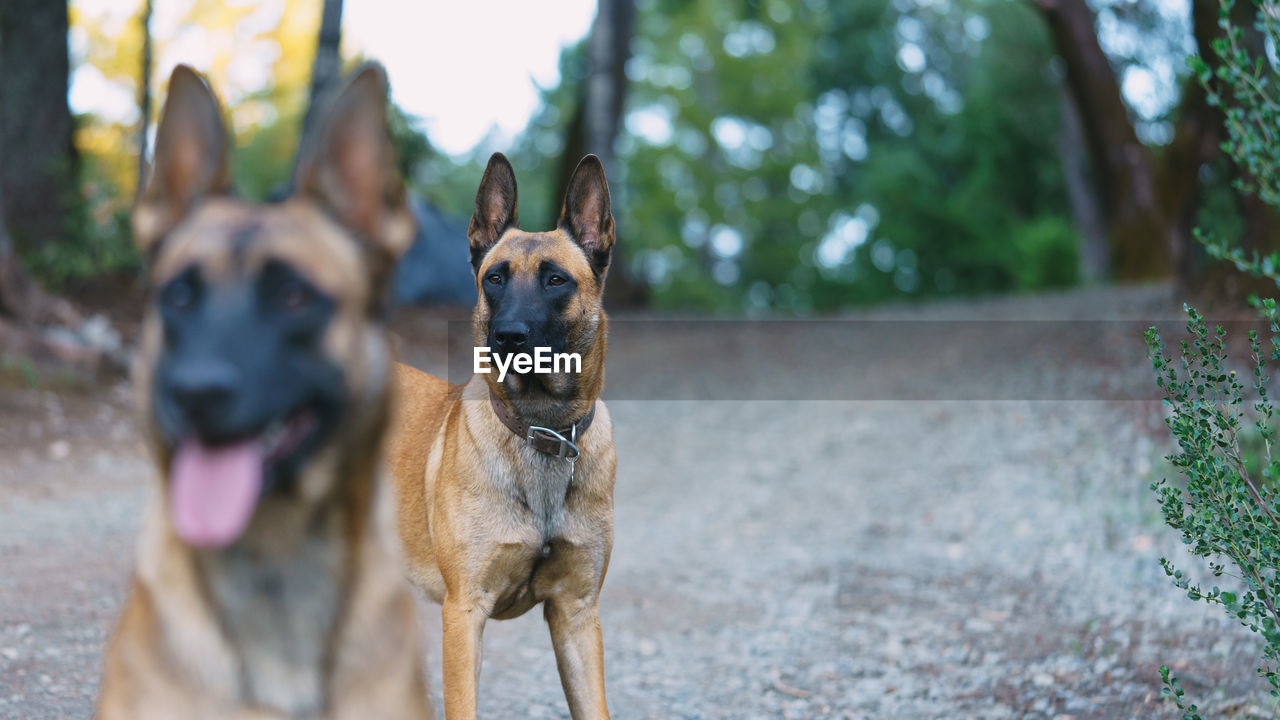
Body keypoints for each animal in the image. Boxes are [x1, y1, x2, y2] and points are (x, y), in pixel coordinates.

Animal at [389, 152, 619, 717]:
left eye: (556, 280)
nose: (507, 336)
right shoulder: (463, 613)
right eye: (494, 278)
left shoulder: (577, 616)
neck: (541, 430)